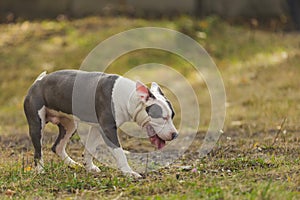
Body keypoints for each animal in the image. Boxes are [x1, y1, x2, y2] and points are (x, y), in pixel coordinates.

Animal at [24, 69, 178, 177]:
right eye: (163, 117)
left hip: (70, 125)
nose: (175, 135)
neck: (128, 97)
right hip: (37, 125)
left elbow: (90, 148)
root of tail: (38, 81)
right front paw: (129, 173)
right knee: (38, 152)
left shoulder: (97, 128)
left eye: (172, 116)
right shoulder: (108, 129)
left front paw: (89, 167)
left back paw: (74, 164)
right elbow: (119, 153)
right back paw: (40, 171)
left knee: (57, 147)